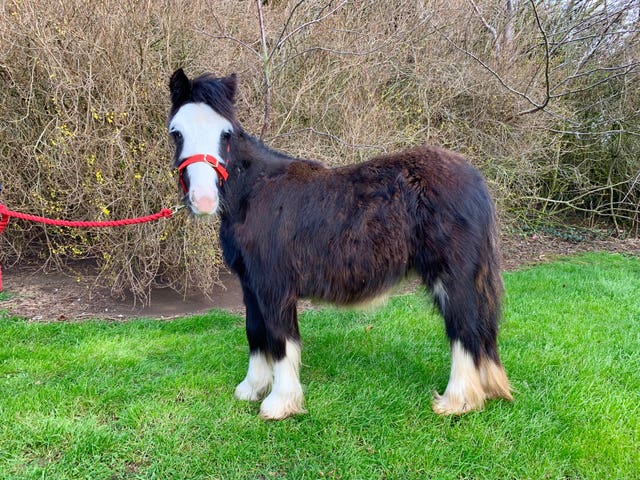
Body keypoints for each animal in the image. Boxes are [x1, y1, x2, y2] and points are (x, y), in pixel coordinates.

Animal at [168, 68, 512, 420]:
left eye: (225, 134)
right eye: (176, 133)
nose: (204, 200)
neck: (256, 192)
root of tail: (474, 179)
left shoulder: (274, 286)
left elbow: (280, 339)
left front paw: (280, 403)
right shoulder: (250, 285)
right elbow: (255, 332)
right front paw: (252, 388)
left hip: (452, 278)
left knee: (464, 330)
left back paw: (457, 401)